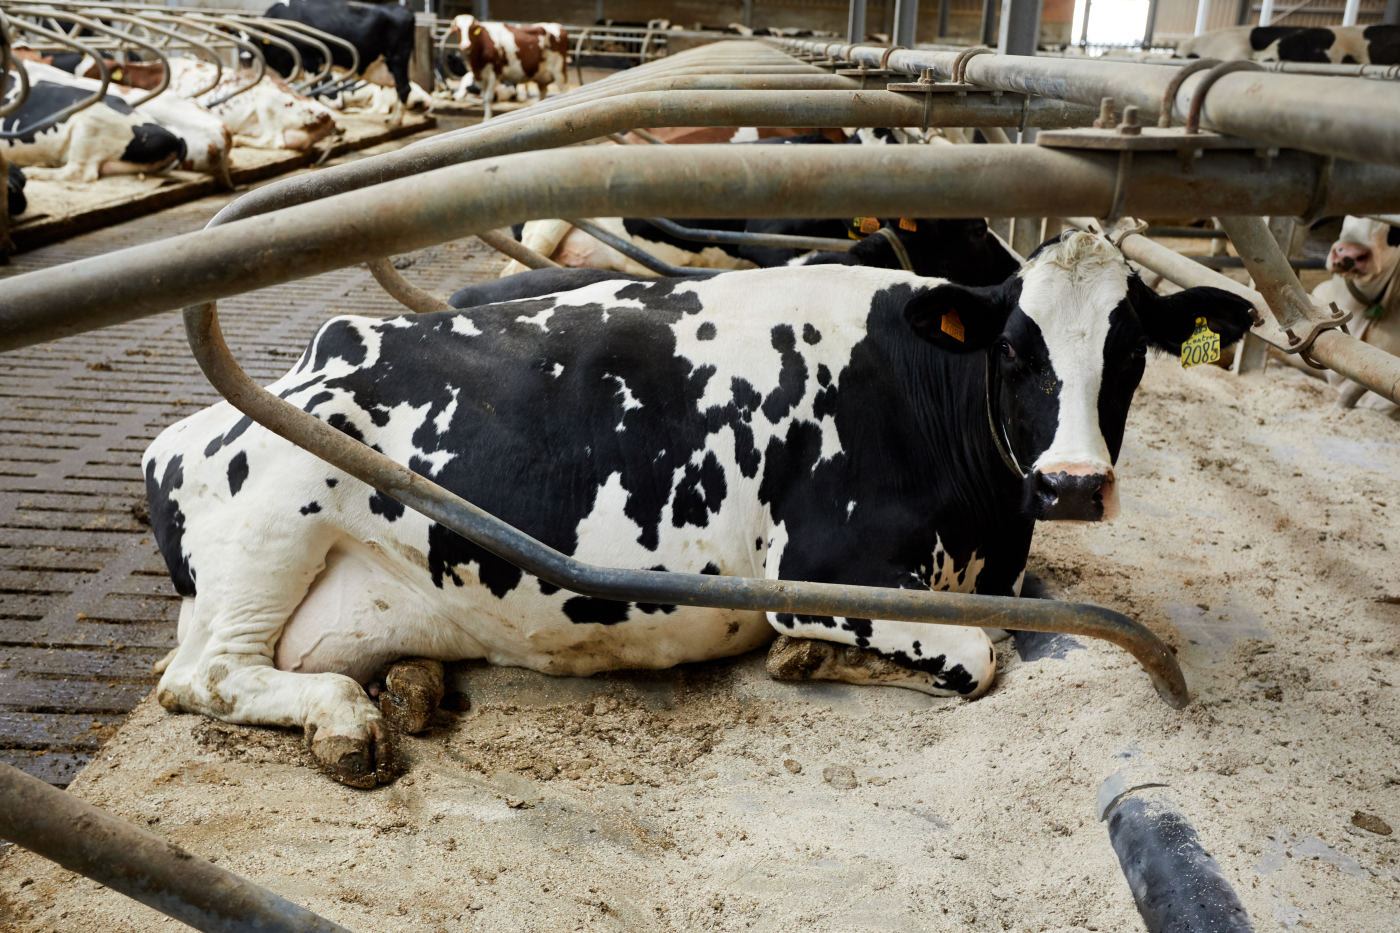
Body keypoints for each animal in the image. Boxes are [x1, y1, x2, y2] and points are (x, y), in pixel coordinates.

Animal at [144, 228, 1260, 778]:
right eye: (1016, 350)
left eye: (1130, 352)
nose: (1070, 482)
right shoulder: (821, 572)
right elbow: (978, 656)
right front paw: (810, 657)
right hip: (276, 512)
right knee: (202, 676)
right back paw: (345, 722)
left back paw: (409, 688)